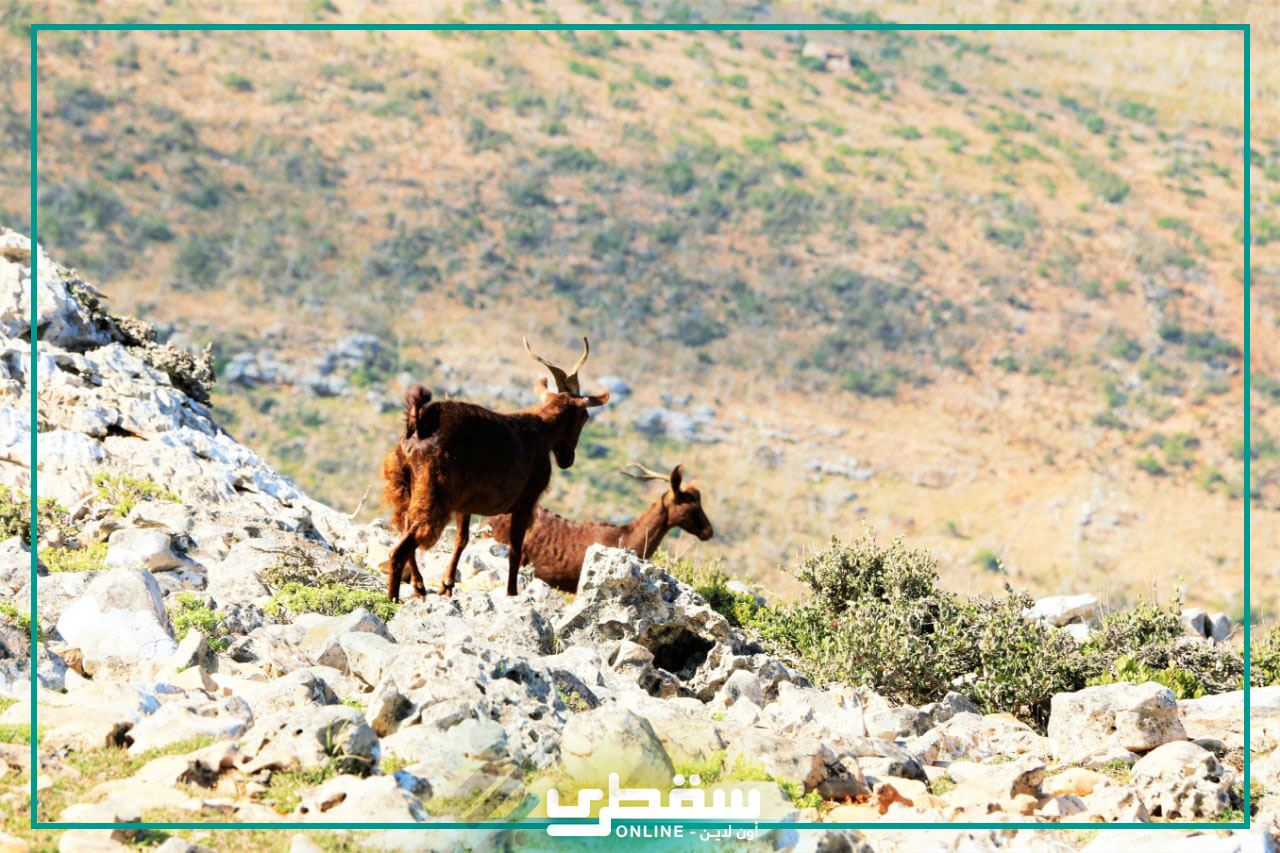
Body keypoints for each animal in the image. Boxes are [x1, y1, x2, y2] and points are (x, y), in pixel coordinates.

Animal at [381, 338, 609, 601]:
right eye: (585, 416)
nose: (566, 459)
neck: (542, 431)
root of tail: (418, 423)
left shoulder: (465, 504)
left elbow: (462, 539)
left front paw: (447, 585)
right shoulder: (526, 502)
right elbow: (515, 548)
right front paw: (512, 593)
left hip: (406, 488)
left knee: (406, 527)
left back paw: (419, 586)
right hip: (433, 494)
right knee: (400, 549)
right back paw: (393, 599)